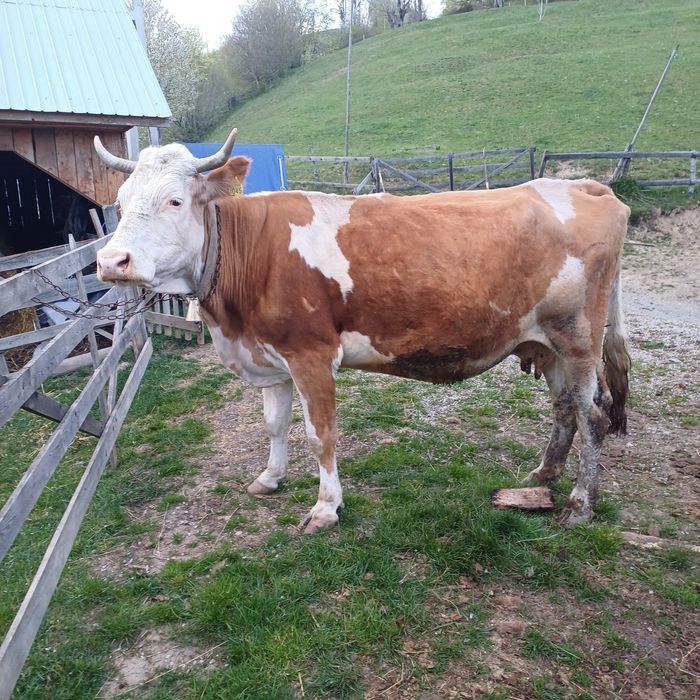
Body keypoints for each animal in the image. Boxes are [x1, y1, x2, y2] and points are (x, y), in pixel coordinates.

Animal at [94, 130, 631, 534]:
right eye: (119, 203)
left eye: (174, 200)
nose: (111, 261)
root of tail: (583, 187)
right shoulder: (270, 357)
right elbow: (274, 424)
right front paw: (269, 478)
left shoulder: (311, 356)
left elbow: (320, 434)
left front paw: (326, 507)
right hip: (546, 342)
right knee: (564, 408)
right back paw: (543, 474)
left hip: (578, 339)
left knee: (593, 416)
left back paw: (579, 504)